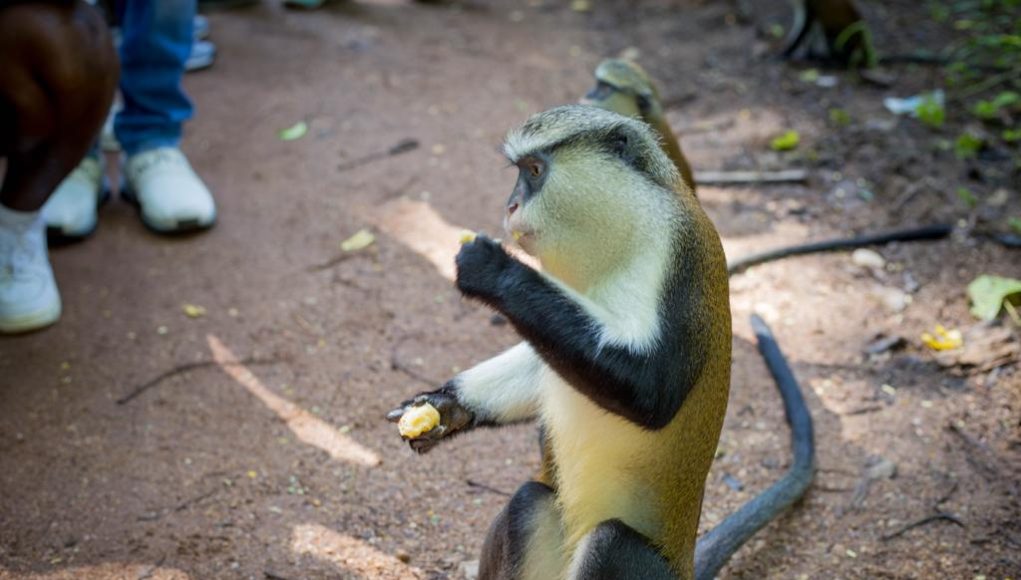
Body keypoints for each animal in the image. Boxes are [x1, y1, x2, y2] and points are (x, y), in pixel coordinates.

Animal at [387, 105, 816, 579]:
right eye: (520, 173)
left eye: (534, 171)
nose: (510, 205)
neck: (624, 227)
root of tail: (685, 568)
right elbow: (544, 361)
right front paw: (445, 408)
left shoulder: (677, 257)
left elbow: (653, 391)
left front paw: (493, 271)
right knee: (528, 500)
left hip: (644, 569)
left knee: (609, 539)